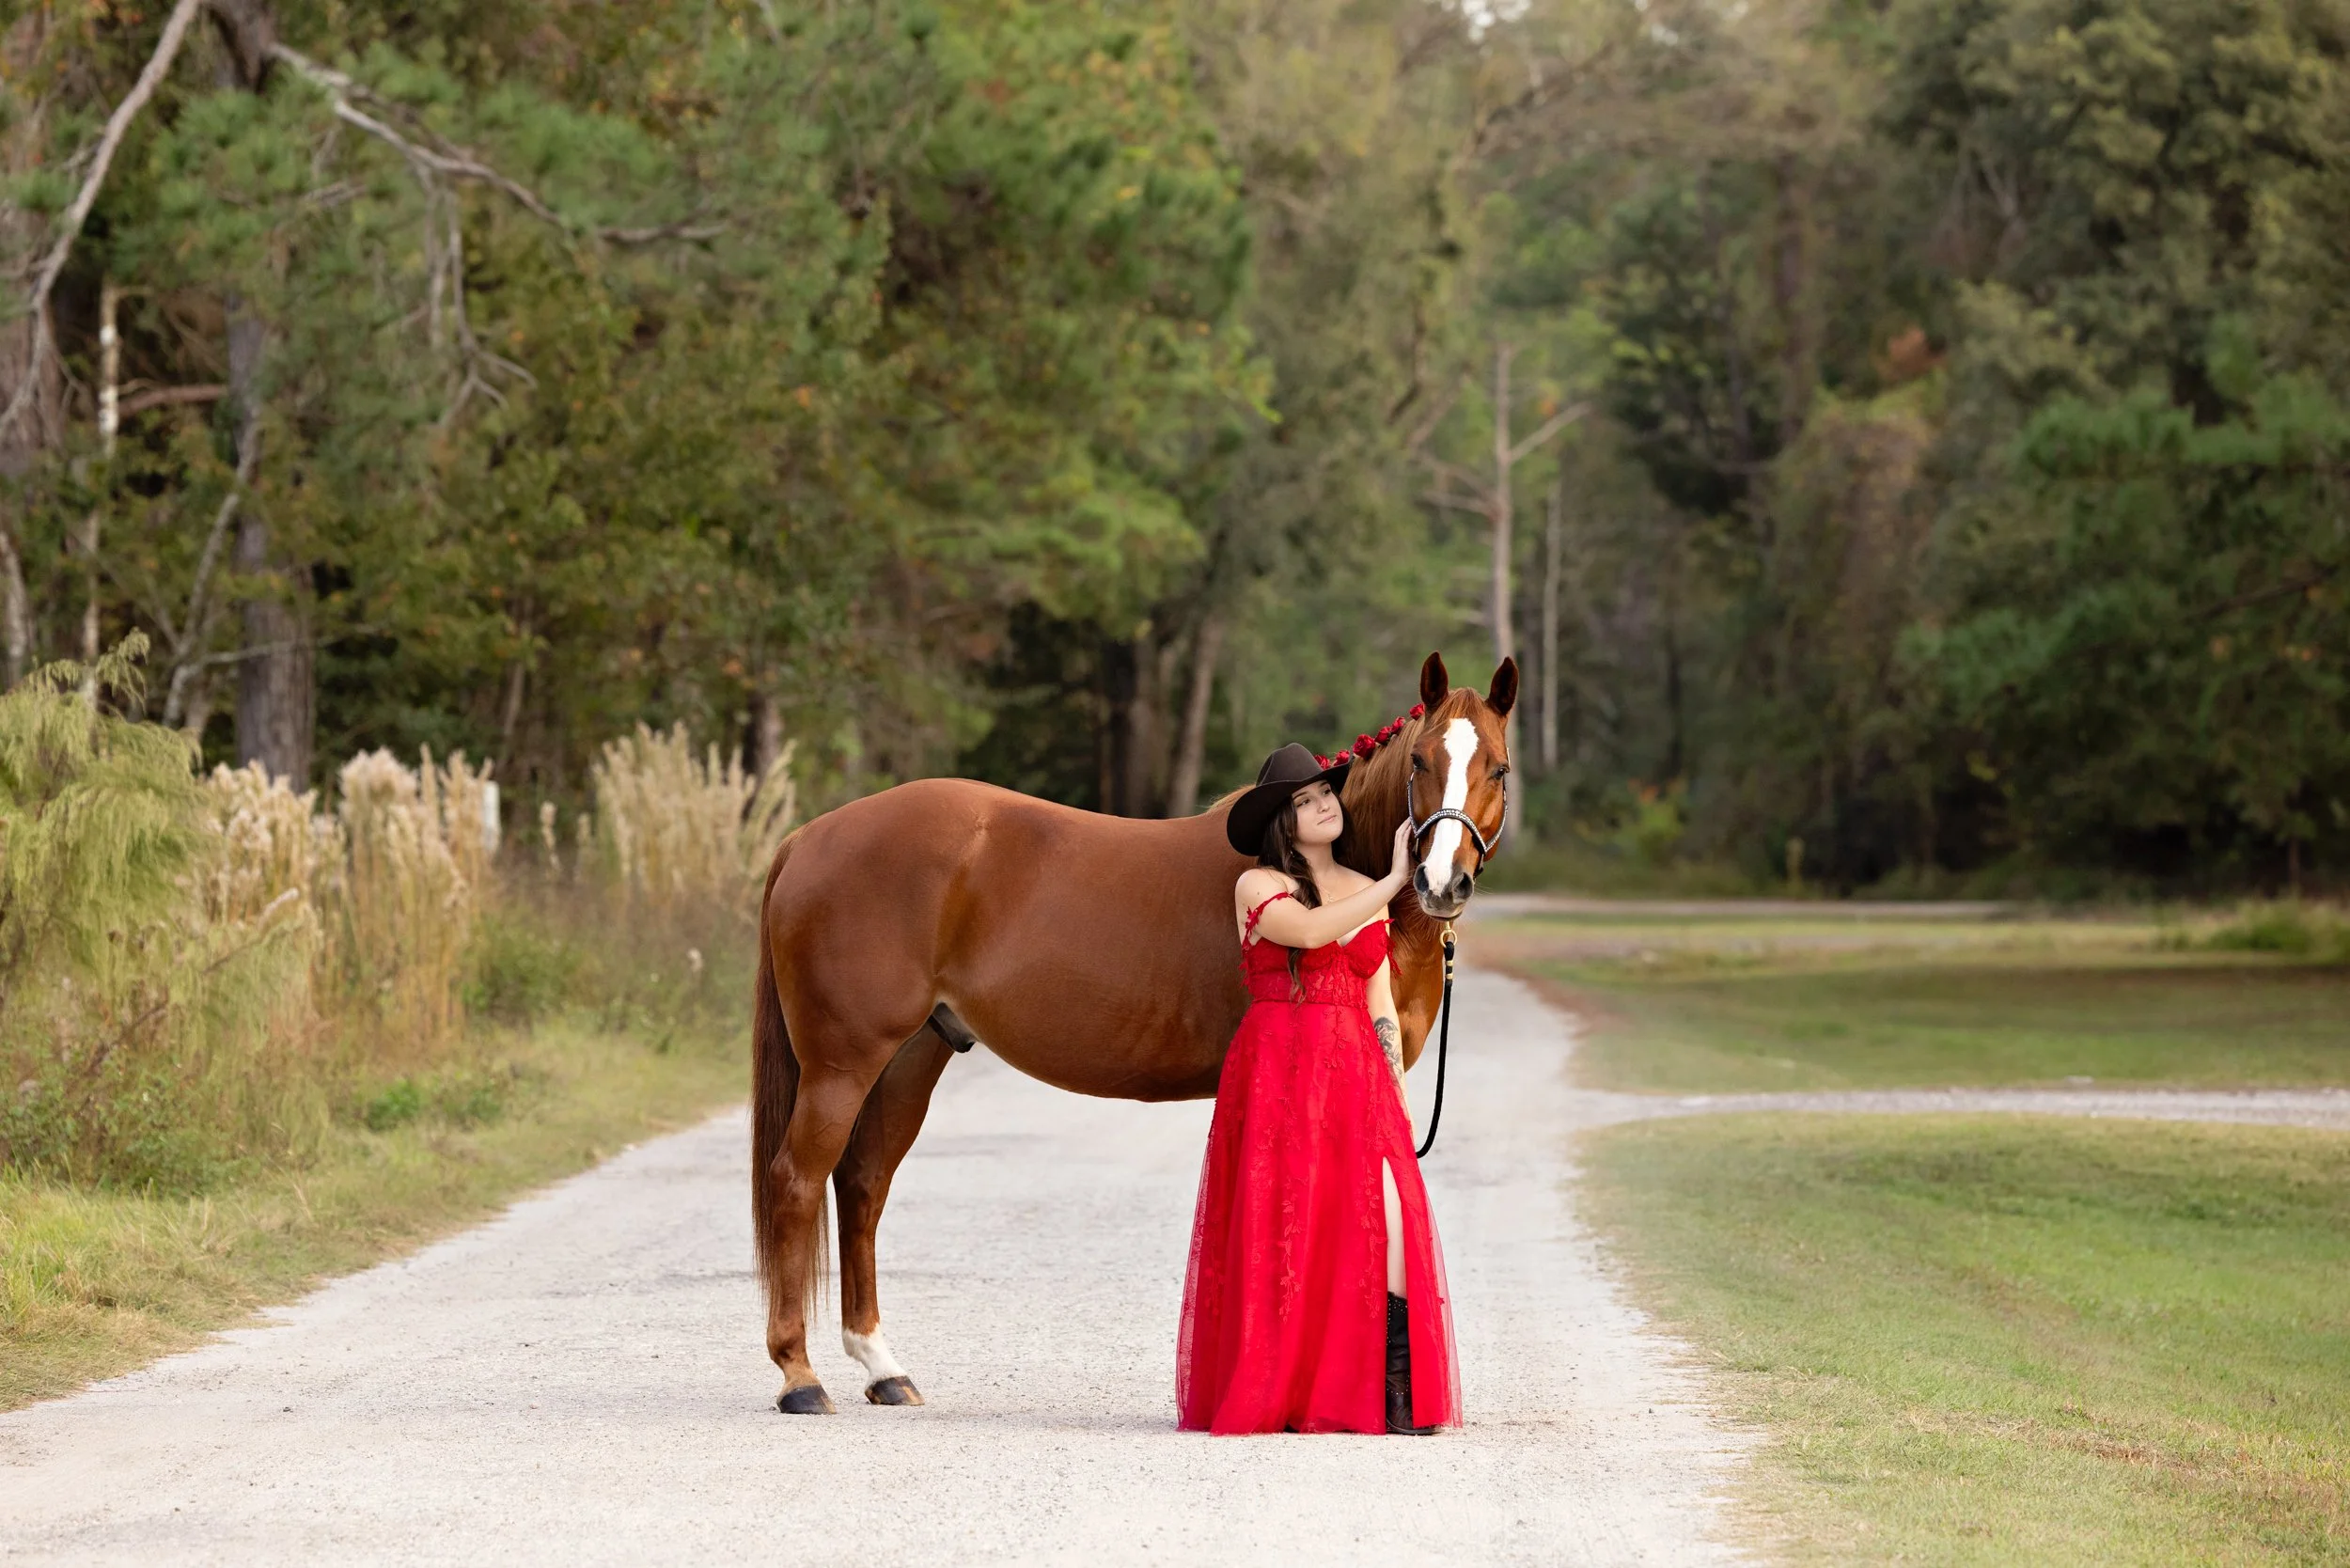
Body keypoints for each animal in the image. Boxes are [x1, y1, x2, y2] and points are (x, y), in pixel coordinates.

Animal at [751, 650, 1517, 1413]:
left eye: (1500, 769)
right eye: (1419, 760)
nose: (1439, 881)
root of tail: (809, 837)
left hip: (911, 1057)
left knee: (862, 1185)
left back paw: (883, 1369)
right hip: (842, 1064)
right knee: (797, 1182)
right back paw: (800, 1377)